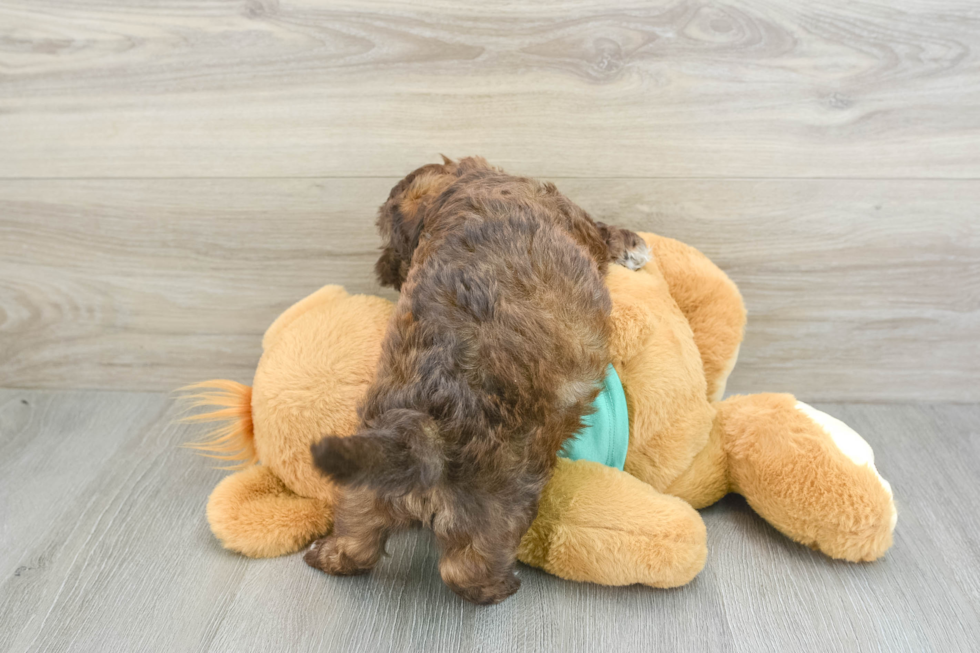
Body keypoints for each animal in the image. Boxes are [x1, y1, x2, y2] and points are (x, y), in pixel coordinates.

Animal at [306, 155, 652, 604]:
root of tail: (423, 430)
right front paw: (633, 245)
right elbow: (604, 233)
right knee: (466, 568)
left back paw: (325, 554)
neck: (465, 185)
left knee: (357, 541)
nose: (383, 271)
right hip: (500, 501)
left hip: (366, 491)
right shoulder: (580, 225)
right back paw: (501, 586)